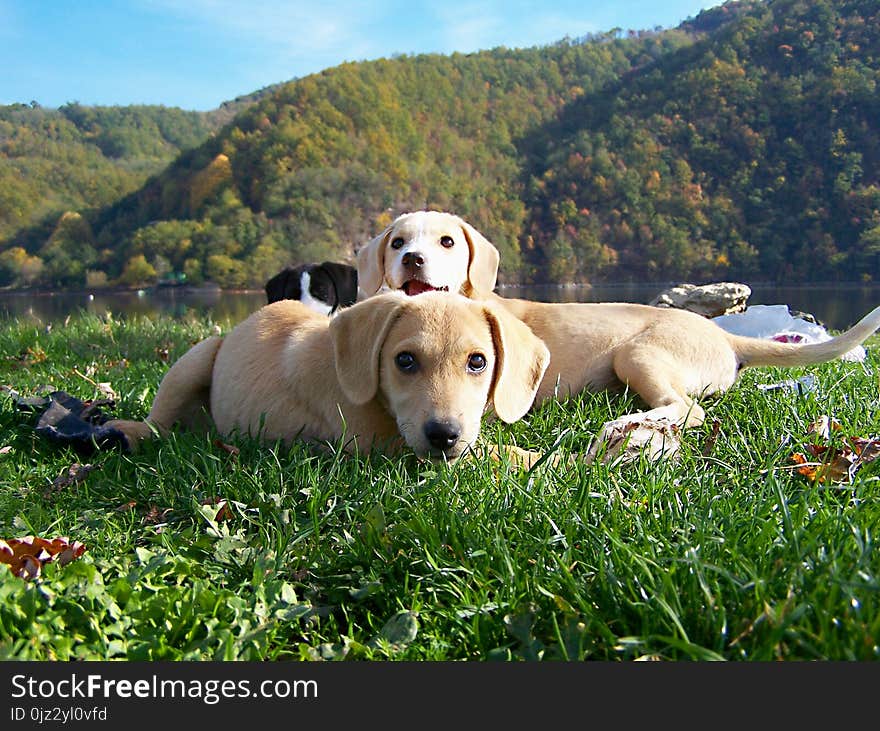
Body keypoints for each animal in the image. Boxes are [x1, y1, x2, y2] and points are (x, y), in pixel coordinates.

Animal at [106, 294, 552, 468]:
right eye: (404, 361)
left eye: (478, 362)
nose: (443, 434)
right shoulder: (378, 446)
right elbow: (490, 455)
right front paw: (550, 461)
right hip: (197, 357)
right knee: (158, 423)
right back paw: (128, 430)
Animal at [358, 212, 880, 460]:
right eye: (397, 242)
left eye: (447, 242)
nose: (412, 259)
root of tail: (727, 338)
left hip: (638, 353)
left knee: (688, 410)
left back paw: (627, 424)